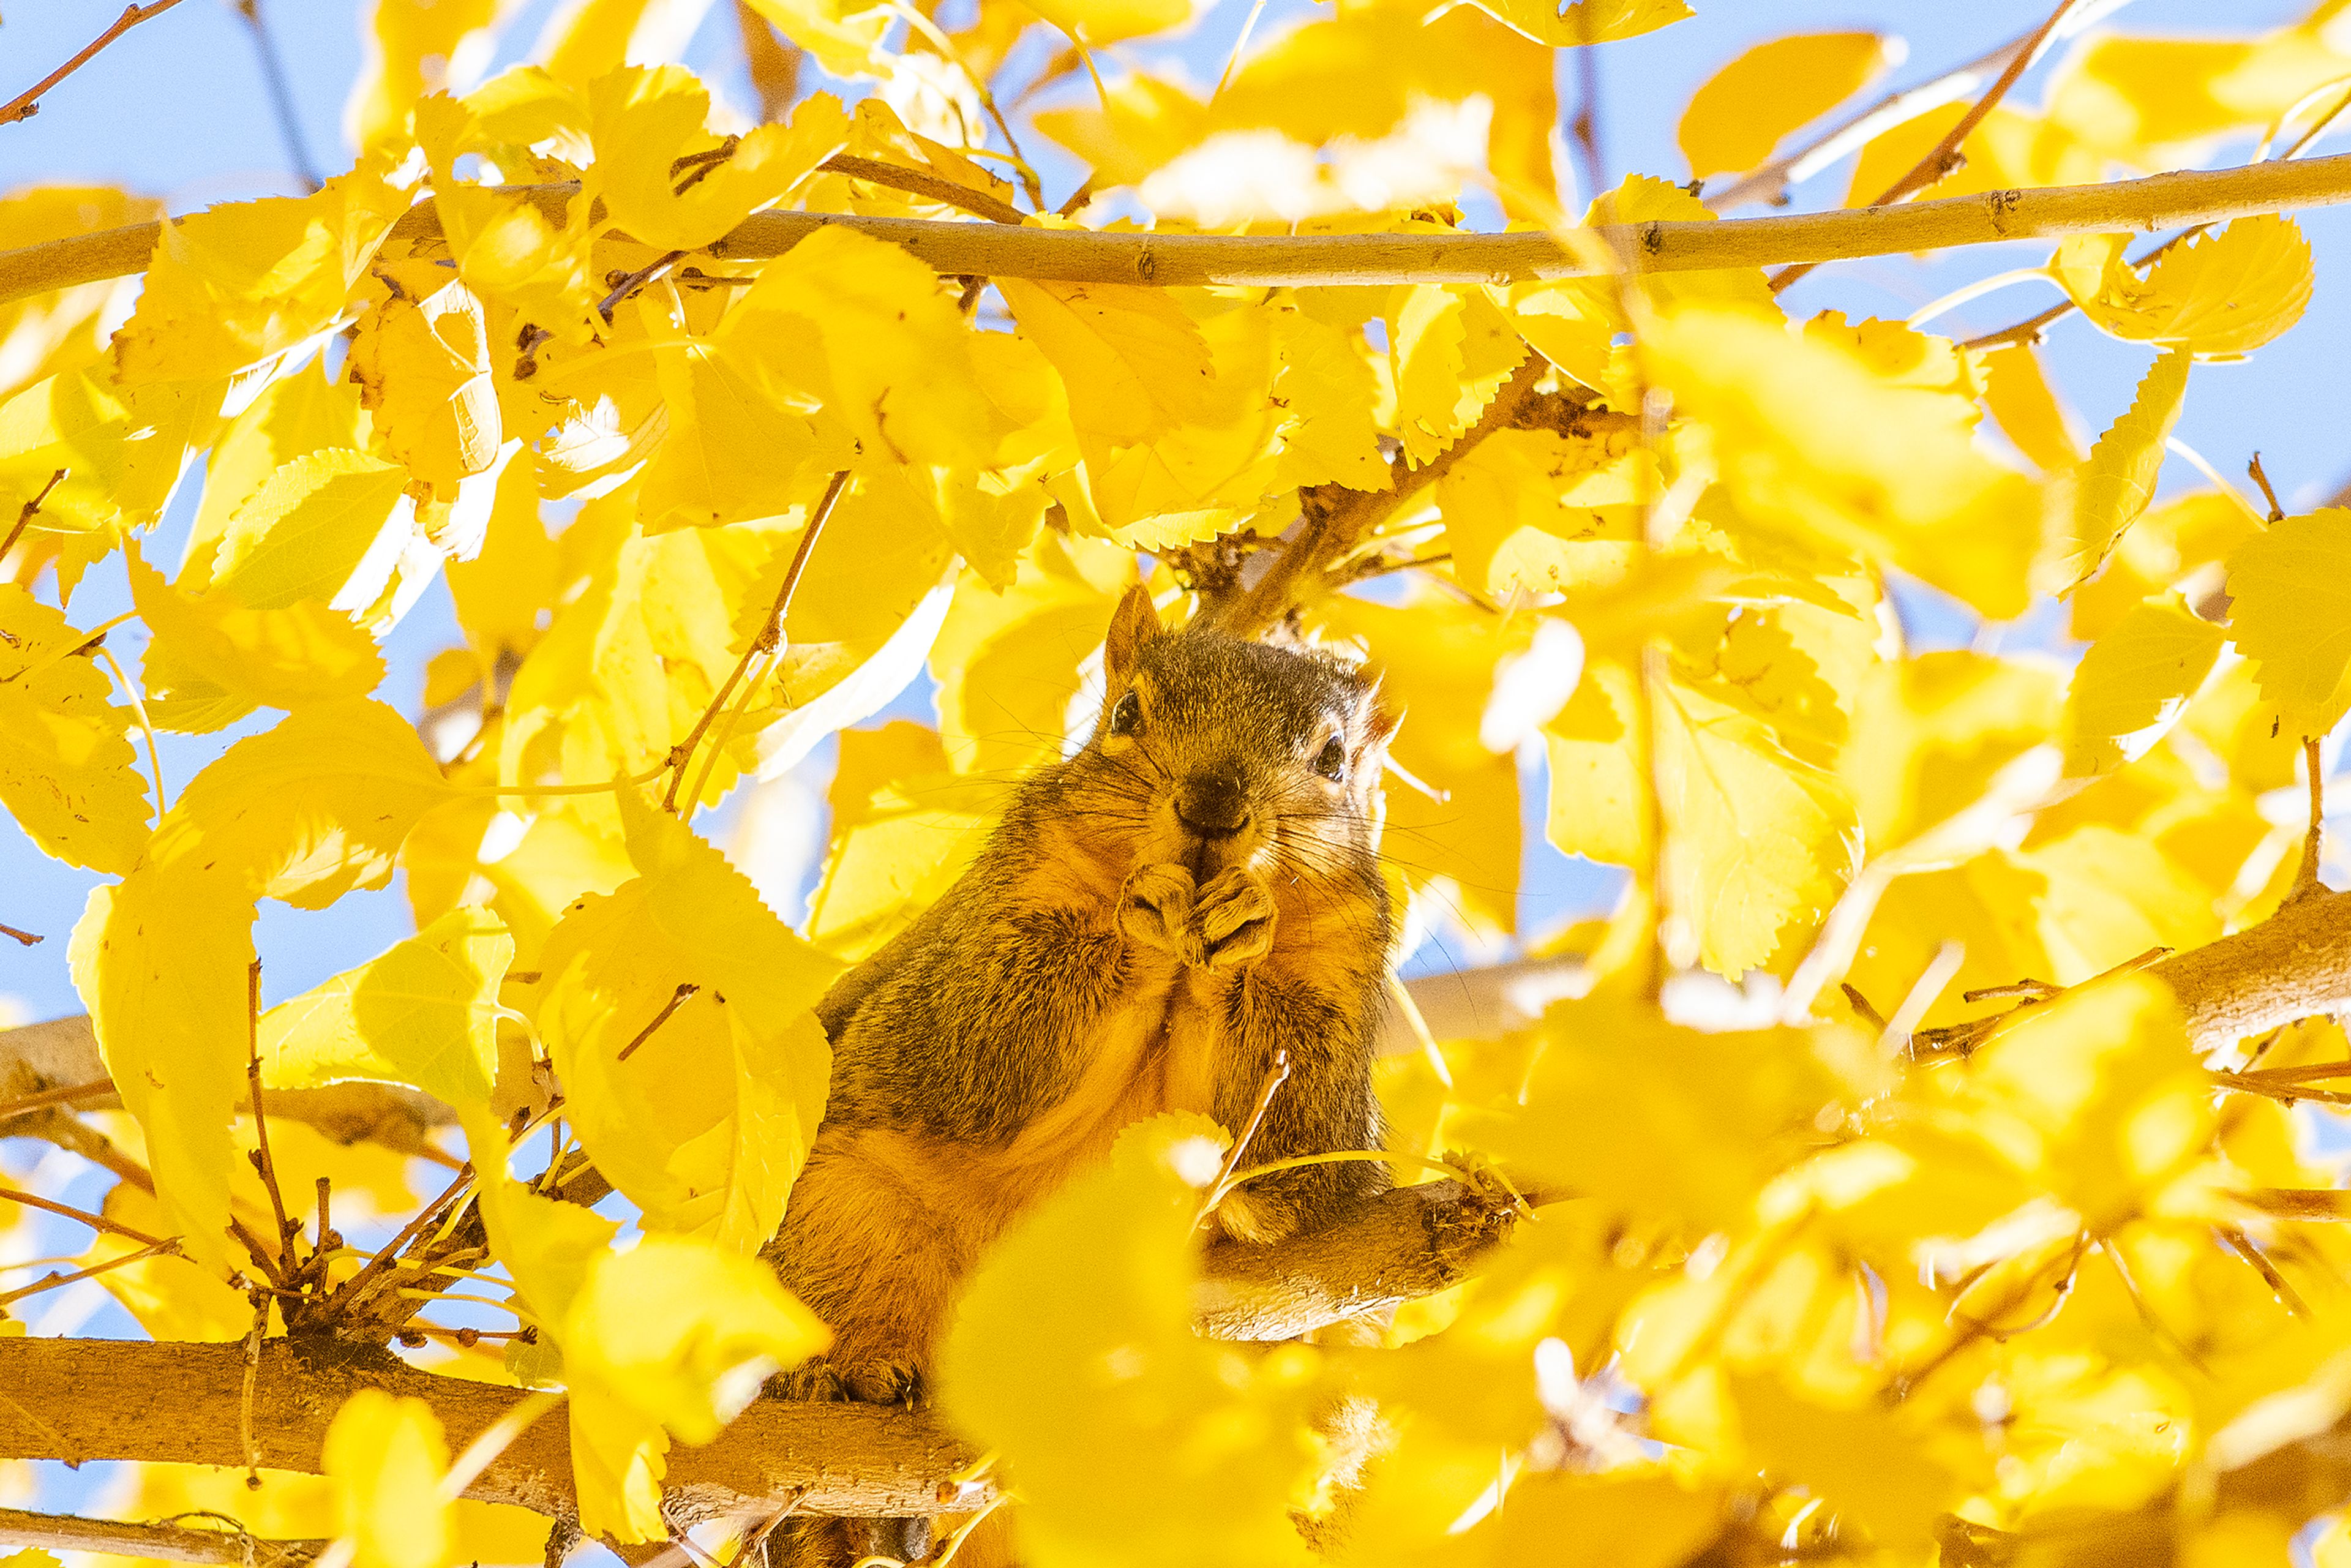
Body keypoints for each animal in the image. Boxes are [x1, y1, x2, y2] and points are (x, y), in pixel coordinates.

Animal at [766, 585, 1392, 1568]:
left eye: (1333, 760)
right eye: (1126, 713)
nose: (1212, 806)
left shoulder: (1341, 1010)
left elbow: (1298, 1166)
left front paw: (1240, 936)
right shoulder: (960, 977)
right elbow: (983, 1039)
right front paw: (1142, 915)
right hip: (844, 1211)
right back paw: (850, 1396)